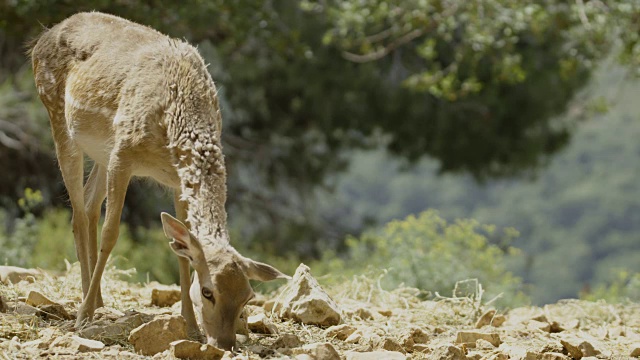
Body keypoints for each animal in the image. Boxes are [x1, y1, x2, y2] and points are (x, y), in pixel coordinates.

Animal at [29, 12, 288, 350]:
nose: (225, 343)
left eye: (248, 296)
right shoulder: (123, 154)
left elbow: (181, 249)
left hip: (100, 151)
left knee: (88, 204)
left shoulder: (176, 180)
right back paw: (87, 307)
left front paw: (190, 326)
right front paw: (83, 317)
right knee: (78, 212)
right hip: (58, 117)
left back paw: (98, 300)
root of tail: (41, 39)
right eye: (208, 292)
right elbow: (112, 232)